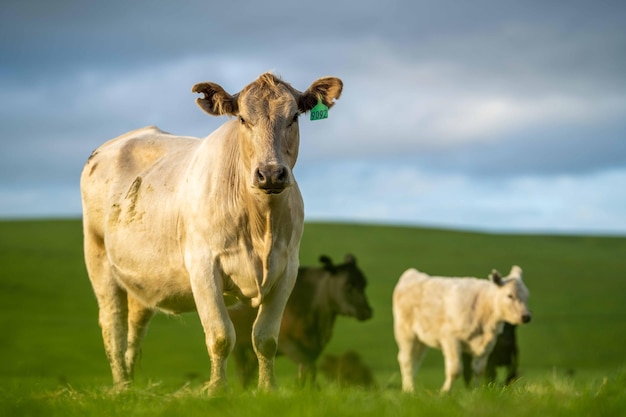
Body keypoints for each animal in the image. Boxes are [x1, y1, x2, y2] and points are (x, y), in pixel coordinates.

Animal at [80, 72, 342, 394]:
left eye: (294, 117)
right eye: (242, 118)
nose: (270, 173)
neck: (261, 224)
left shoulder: (287, 268)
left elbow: (266, 338)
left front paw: (267, 389)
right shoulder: (203, 266)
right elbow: (220, 335)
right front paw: (217, 390)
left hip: (141, 277)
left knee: (135, 327)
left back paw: (130, 383)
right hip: (98, 258)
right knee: (112, 324)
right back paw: (121, 388)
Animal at [227, 254, 370, 386]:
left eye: (364, 284)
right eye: (348, 285)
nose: (367, 311)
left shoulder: (314, 347)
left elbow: (305, 371)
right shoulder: (286, 342)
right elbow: (309, 368)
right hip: (238, 344)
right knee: (242, 371)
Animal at [392, 266, 528, 390]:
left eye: (527, 296)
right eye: (510, 295)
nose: (526, 316)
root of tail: (412, 273)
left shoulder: (489, 344)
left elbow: (478, 370)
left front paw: (476, 391)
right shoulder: (451, 339)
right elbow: (455, 370)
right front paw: (445, 392)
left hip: (421, 339)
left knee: (416, 359)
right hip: (405, 333)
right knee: (406, 360)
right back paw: (409, 389)